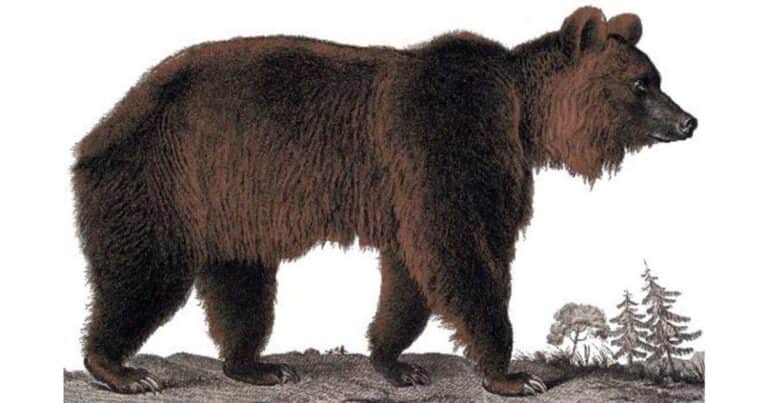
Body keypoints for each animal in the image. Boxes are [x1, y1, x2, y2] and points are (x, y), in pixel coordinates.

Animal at [72, 6, 696, 396]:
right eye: (642, 83)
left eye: (657, 76)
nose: (689, 120)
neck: (522, 114)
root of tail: (106, 121)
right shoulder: (448, 142)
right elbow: (461, 252)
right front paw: (514, 374)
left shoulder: (417, 184)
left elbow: (410, 273)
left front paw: (395, 361)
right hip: (160, 179)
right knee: (143, 274)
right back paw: (120, 369)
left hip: (232, 202)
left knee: (240, 281)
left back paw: (257, 367)